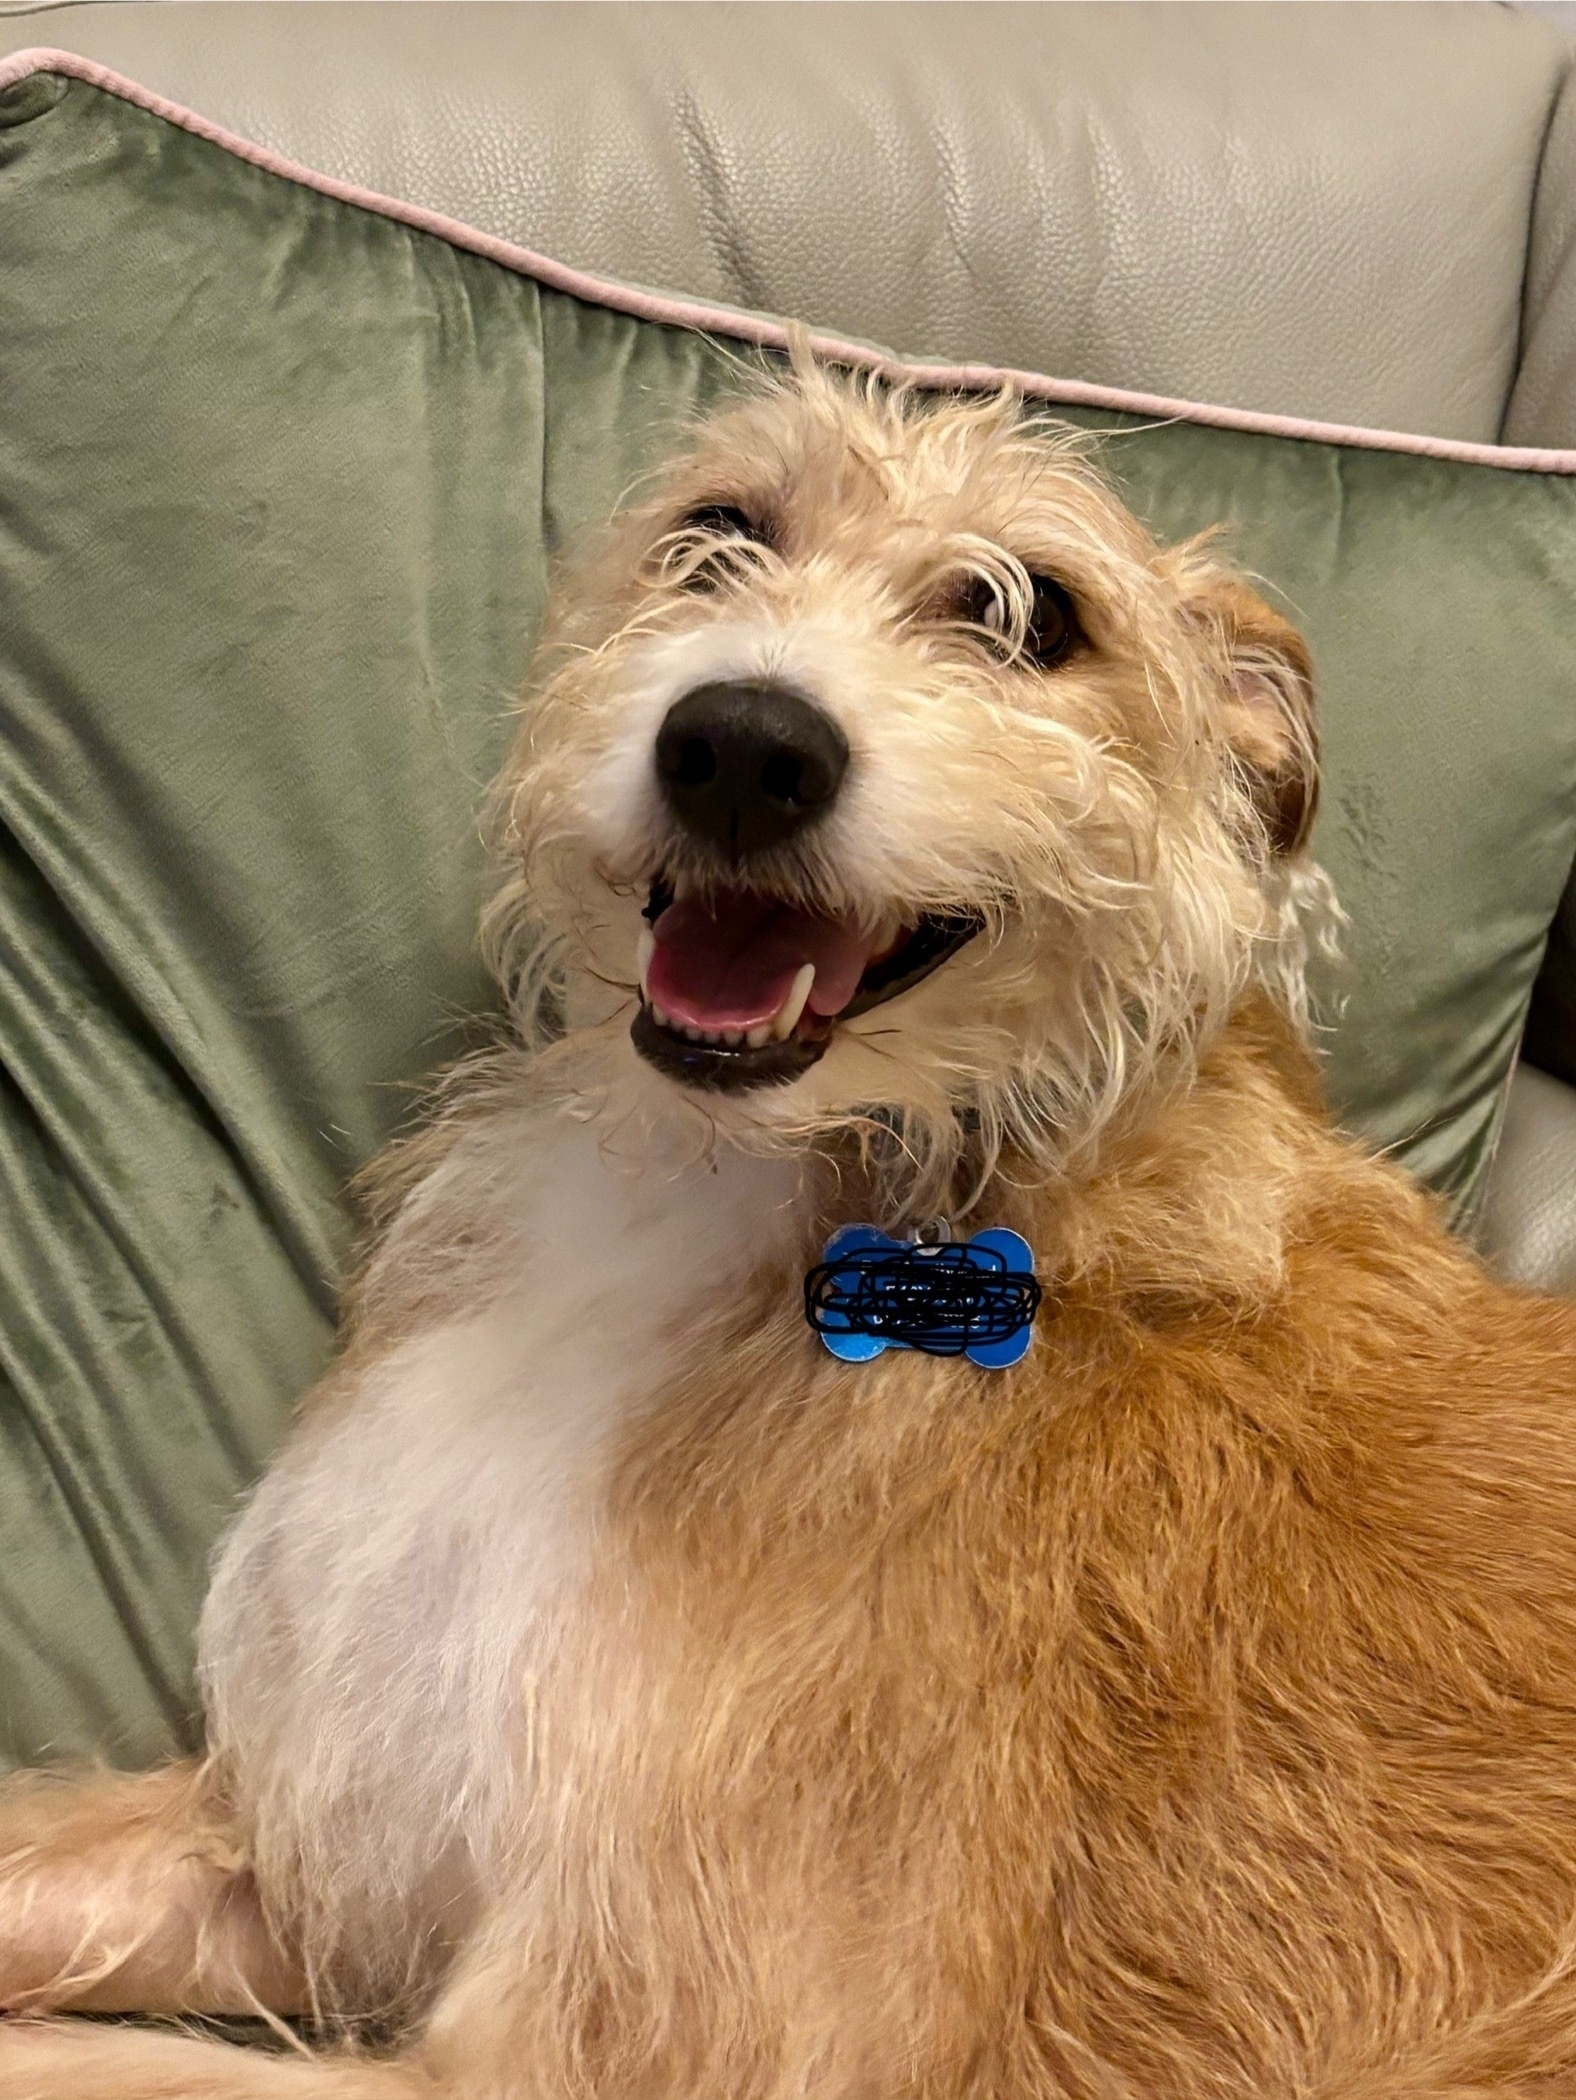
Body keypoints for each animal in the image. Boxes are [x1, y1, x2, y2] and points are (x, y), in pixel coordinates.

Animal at [3, 365, 1576, 2100]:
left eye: (1033, 616)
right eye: (721, 529)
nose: (742, 745)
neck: (753, 1181)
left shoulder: (639, 2034)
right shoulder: (333, 1852)